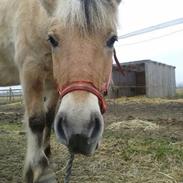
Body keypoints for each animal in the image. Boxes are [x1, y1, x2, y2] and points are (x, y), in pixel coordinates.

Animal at [0, 0, 121, 182]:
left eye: (112, 39)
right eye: (53, 39)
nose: (79, 131)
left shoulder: (54, 83)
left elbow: (49, 118)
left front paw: (46, 154)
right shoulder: (30, 69)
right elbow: (36, 121)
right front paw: (38, 169)